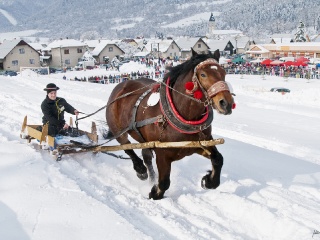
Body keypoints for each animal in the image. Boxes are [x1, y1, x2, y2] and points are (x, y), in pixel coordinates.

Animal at [106, 48, 234, 199]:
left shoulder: (200, 143)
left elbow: (218, 159)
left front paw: (209, 181)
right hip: (118, 130)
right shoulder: (162, 154)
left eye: (224, 72)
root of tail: (122, 85)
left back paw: (151, 177)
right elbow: (164, 182)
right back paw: (140, 169)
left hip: (144, 139)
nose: (226, 104)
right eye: (203, 74)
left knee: (146, 156)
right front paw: (155, 193)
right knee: (127, 147)